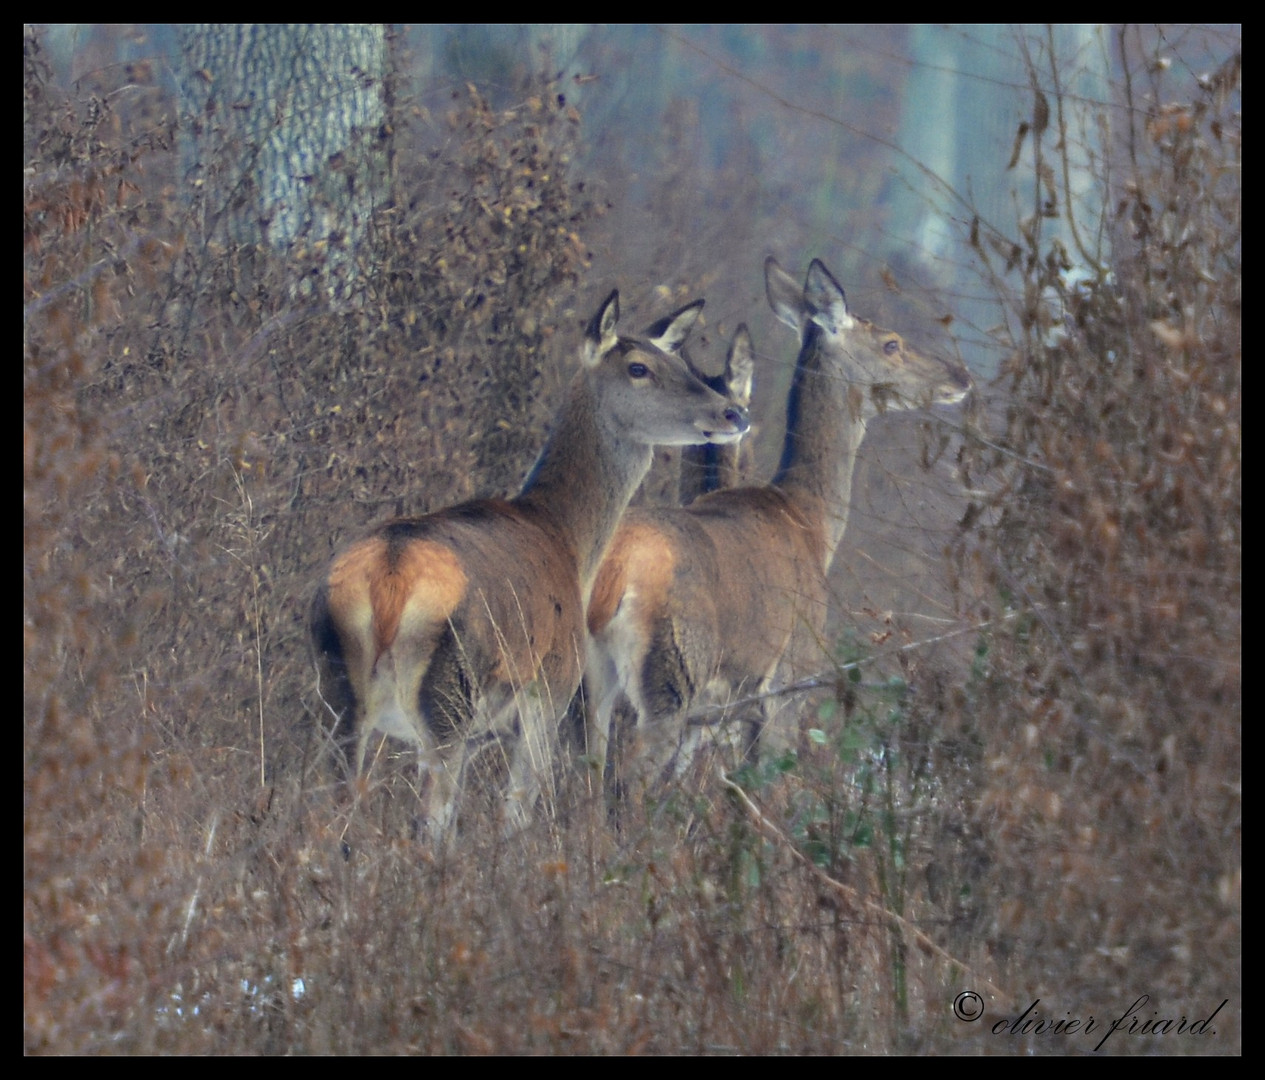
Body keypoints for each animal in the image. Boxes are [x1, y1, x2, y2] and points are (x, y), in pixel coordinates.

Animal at [309, 289, 743, 844]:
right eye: (638, 367)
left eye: (680, 361)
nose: (732, 412)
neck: (567, 541)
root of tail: (390, 579)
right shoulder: (548, 696)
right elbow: (516, 815)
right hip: (449, 702)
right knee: (430, 822)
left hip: (337, 697)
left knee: (331, 811)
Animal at [586, 260, 971, 804]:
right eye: (891, 343)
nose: (961, 375)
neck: (811, 524)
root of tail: (616, 577)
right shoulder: (788, 684)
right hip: (673, 677)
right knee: (625, 779)